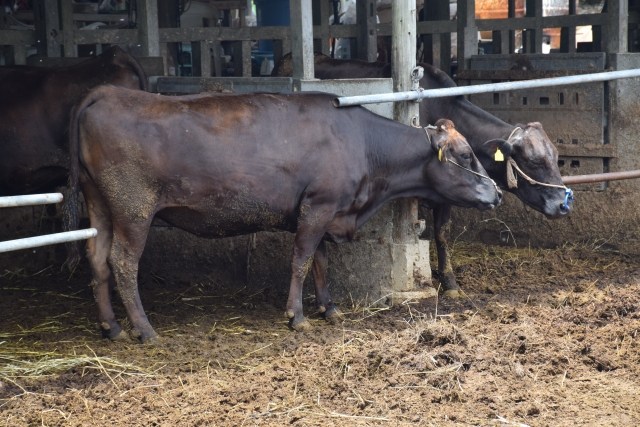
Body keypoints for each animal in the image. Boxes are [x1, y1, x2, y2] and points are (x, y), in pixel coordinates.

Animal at [68, 86, 503, 342]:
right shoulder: (317, 207)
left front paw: (329, 308)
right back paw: (144, 329)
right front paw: (297, 315)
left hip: (99, 204)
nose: (498, 193)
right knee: (123, 263)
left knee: (97, 260)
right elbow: (301, 260)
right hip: (133, 208)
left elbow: (322, 262)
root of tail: (108, 93)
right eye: (466, 155)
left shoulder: (327, 210)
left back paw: (112, 327)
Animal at [273, 53, 572, 296]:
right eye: (533, 161)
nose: (564, 203)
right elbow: (437, 233)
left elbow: (443, 231)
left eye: (556, 157)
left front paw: (448, 280)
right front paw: (448, 282)